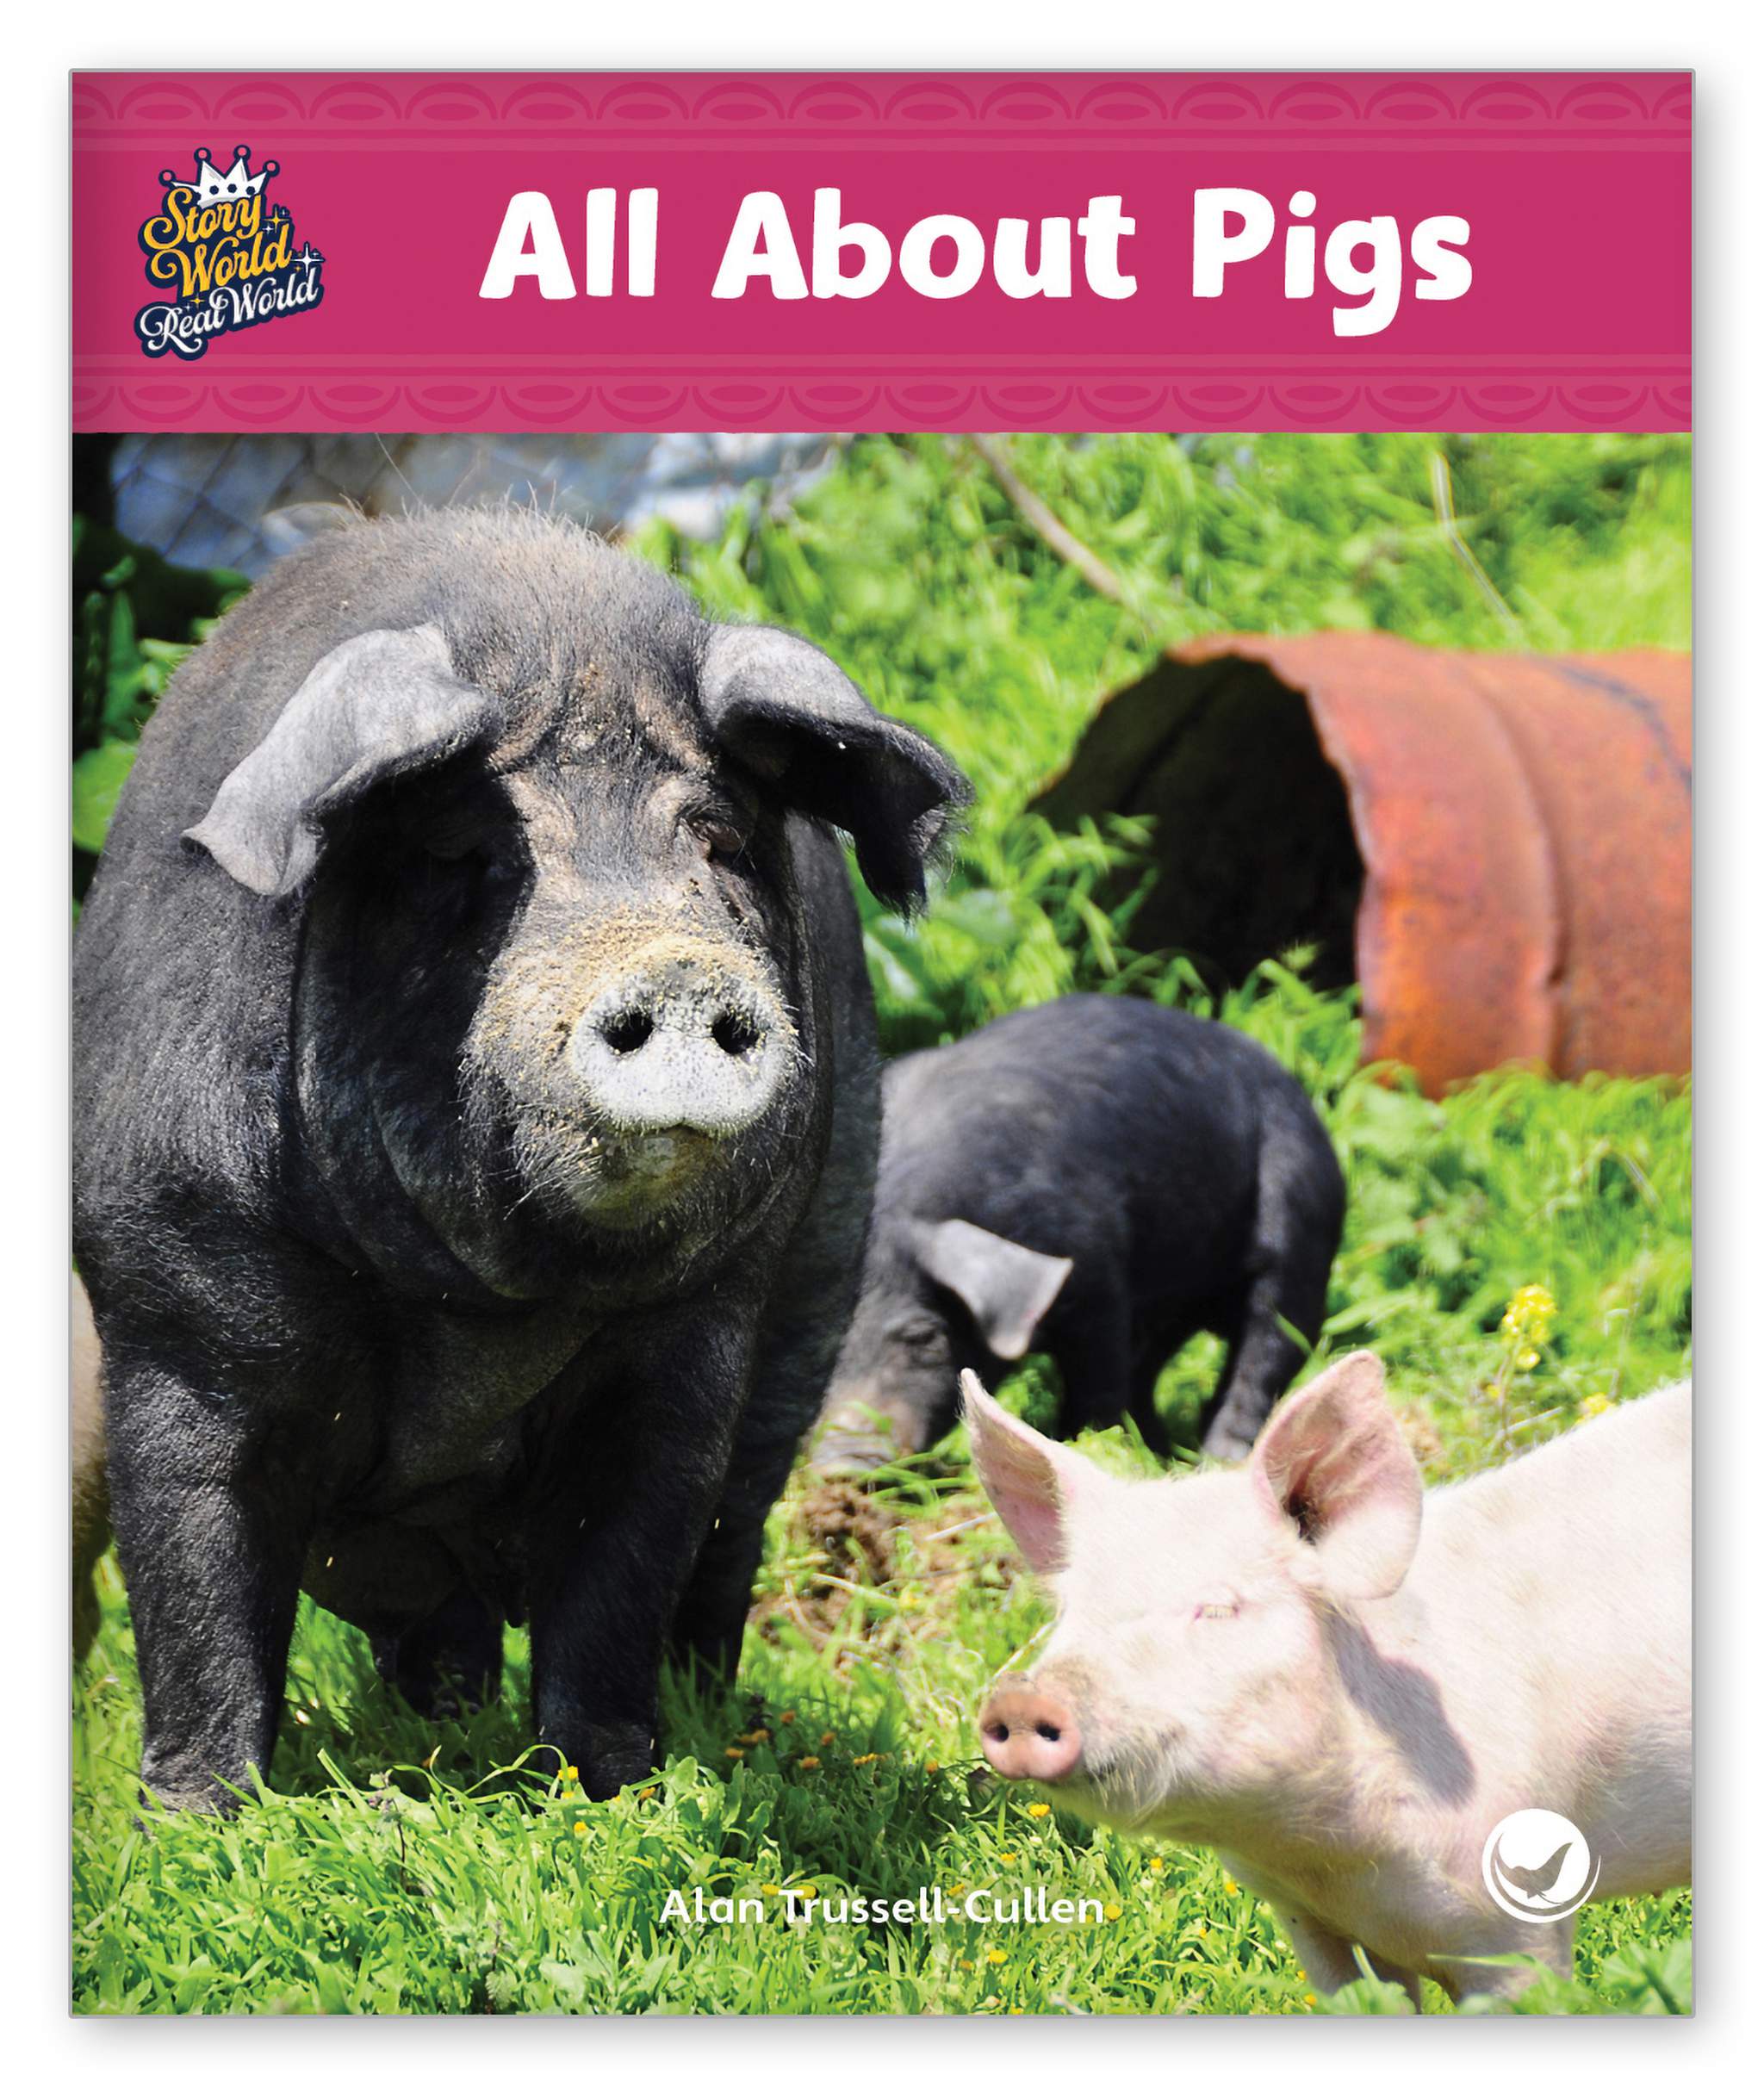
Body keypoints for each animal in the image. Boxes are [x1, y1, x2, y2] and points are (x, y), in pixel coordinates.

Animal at [71, 508, 968, 1810]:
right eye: (469, 857)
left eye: (719, 843)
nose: (673, 965)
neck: (482, 1307)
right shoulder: (170, 1291)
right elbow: (193, 1565)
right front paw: (196, 1815)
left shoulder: (695, 1330)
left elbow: (627, 1556)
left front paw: (612, 1785)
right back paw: (435, 1720)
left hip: (821, 1270)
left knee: (735, 1520)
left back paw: (708, 1711)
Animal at [814, 996, 1343, 1470]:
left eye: (924, 1336)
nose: (841, 1462)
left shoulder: (1093, 1266)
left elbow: (1098, 1374)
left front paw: (1080, 1446)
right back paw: (1161, 1455)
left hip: (1301, 1211)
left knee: (1272, 1338)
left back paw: (1217, 1461)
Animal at [969, 1357, 1691, 2006]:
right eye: (1070, 1613)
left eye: (1220, 1607)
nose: (1022, 1696)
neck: (1328, 1855)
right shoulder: (1311, 1924)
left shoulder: (1513, 1925)